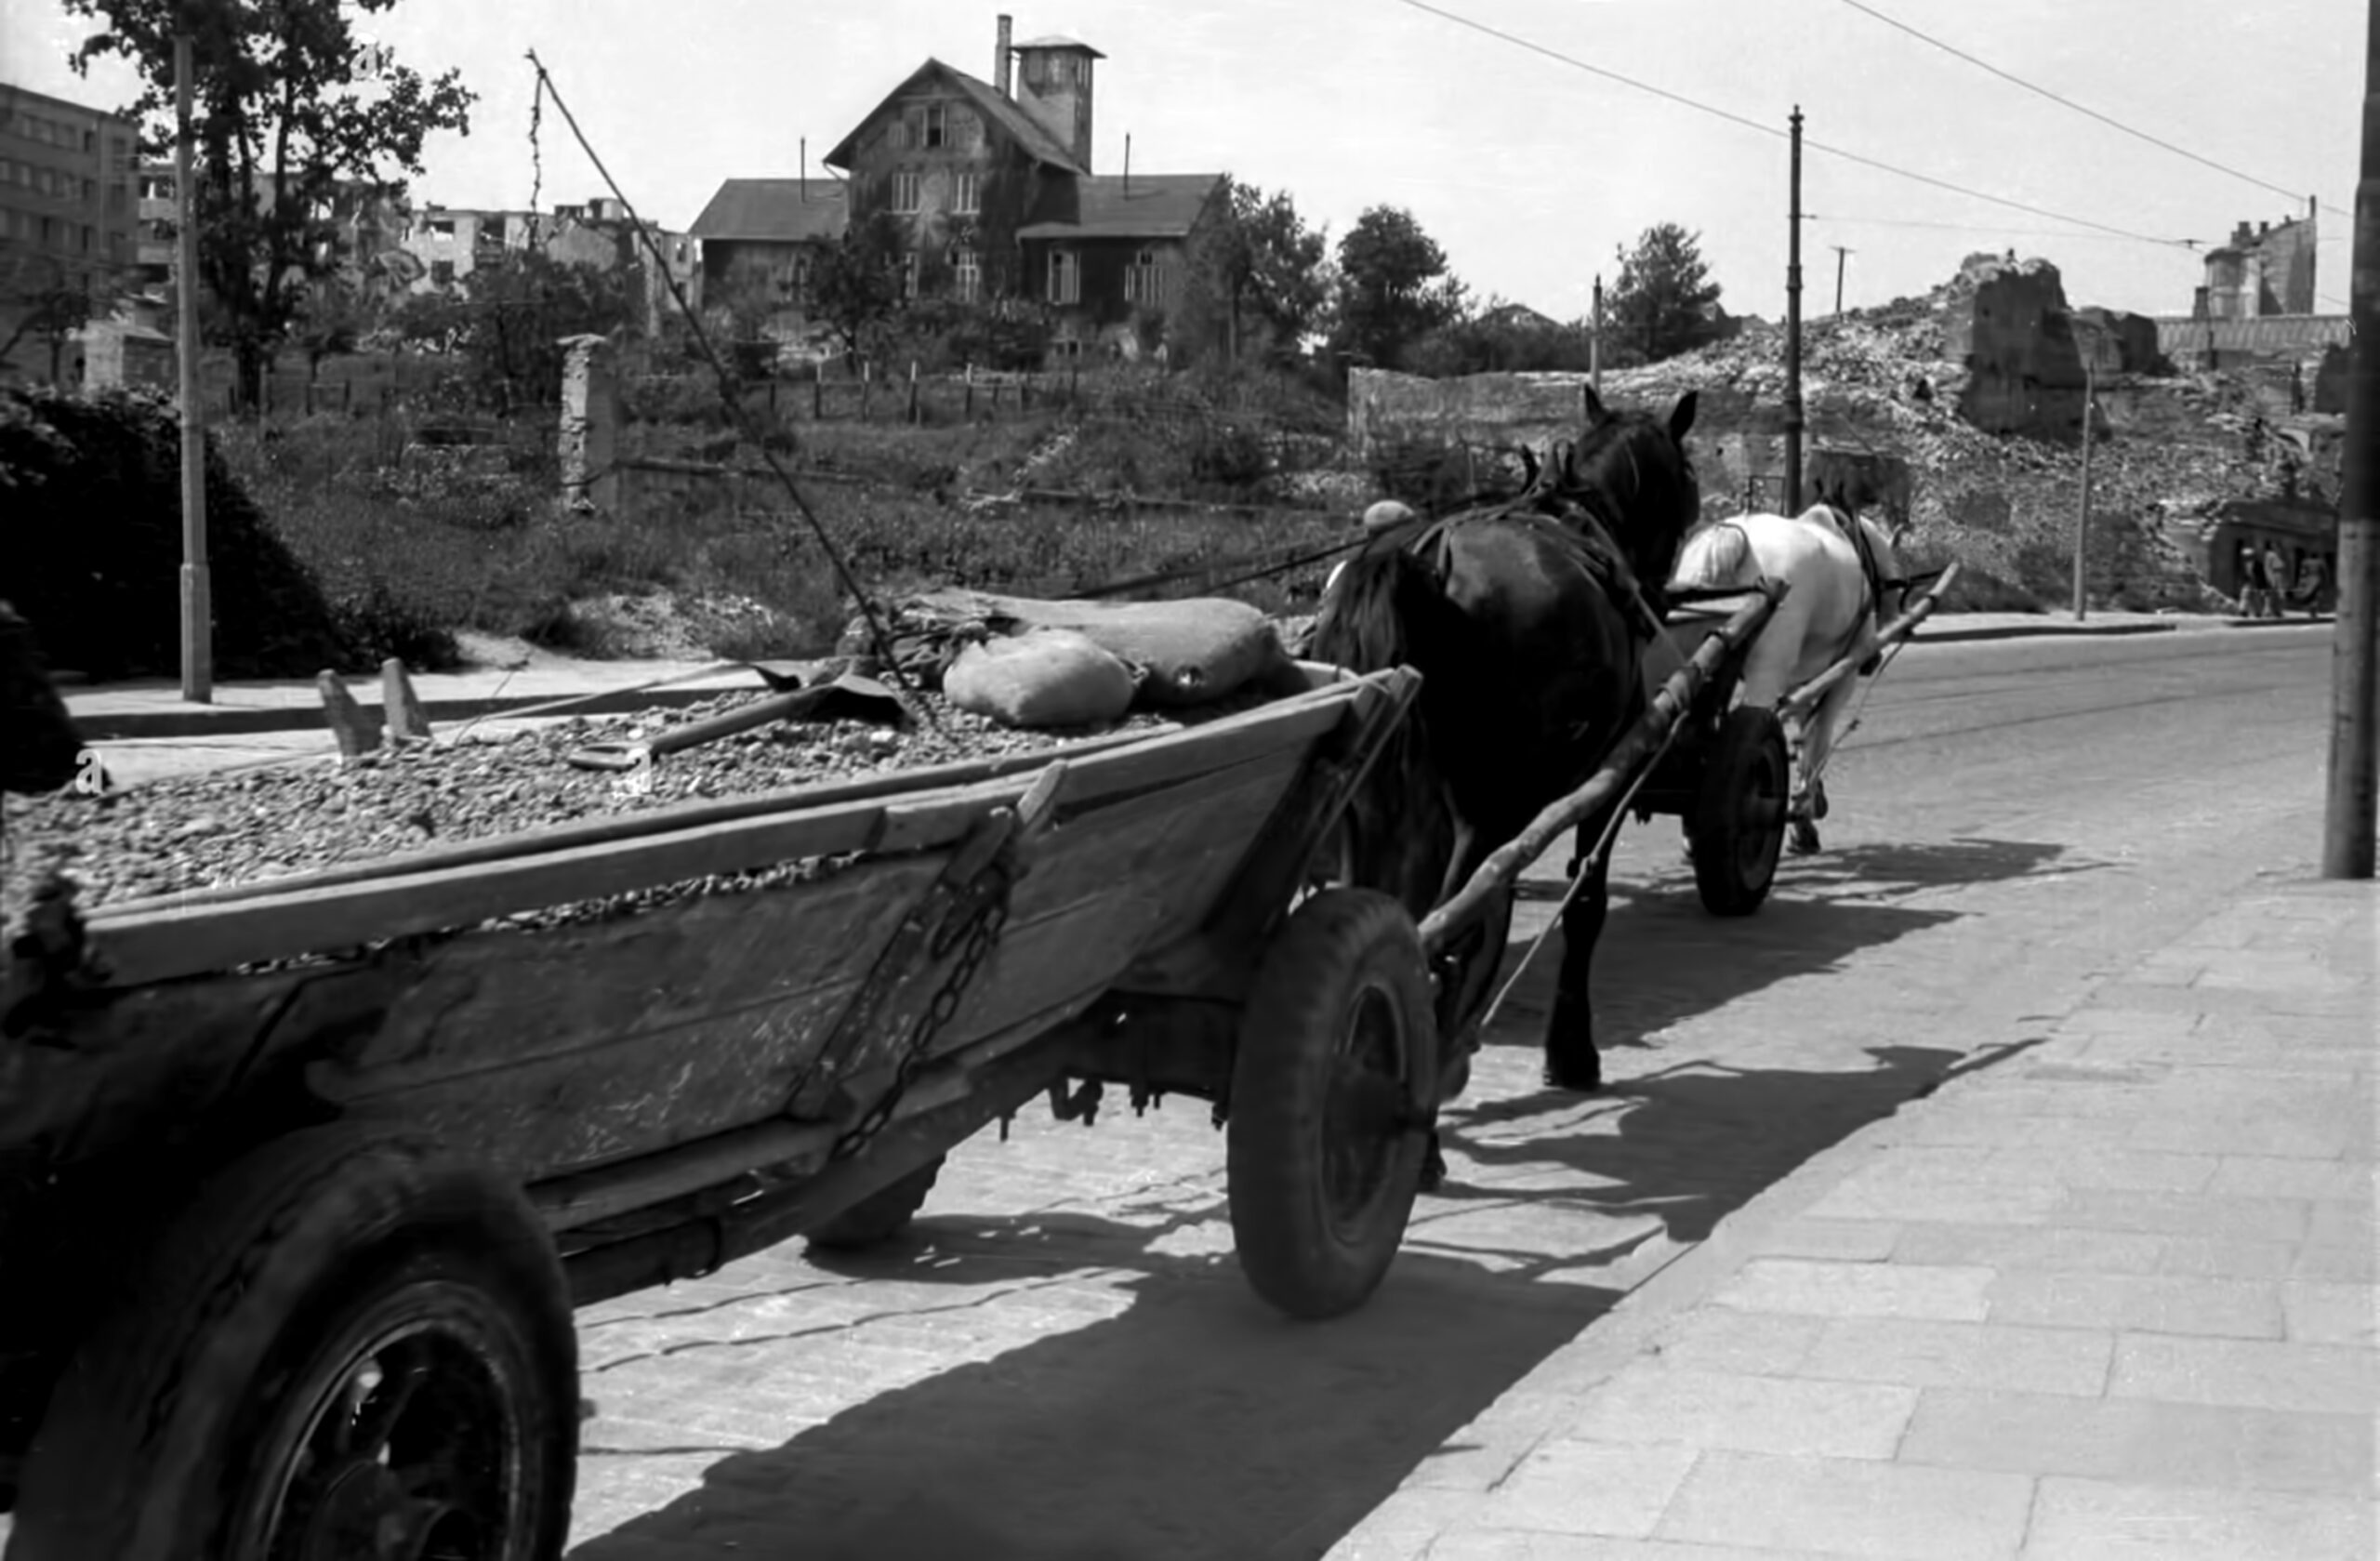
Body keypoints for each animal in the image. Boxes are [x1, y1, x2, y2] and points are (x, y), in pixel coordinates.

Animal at [1314, 383, 1703, 1171]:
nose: (1663, 591)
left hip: (1374, 807)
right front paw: (1572, 1051)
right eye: (1689, 485)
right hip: (1479, 811)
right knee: (1446, 929)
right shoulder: (1604, 778)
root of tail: (1428, 566)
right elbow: (1585, 902)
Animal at [1675, 502, 1913, 852]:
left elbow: (1804, 729)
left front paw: (1809, 804)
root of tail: (1731, 539)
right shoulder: (1841, 675)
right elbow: (1818, 738)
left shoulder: (1802, 679)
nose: (1873, 659)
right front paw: (1803, 814)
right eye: (1895, 585)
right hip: (1767, 671)